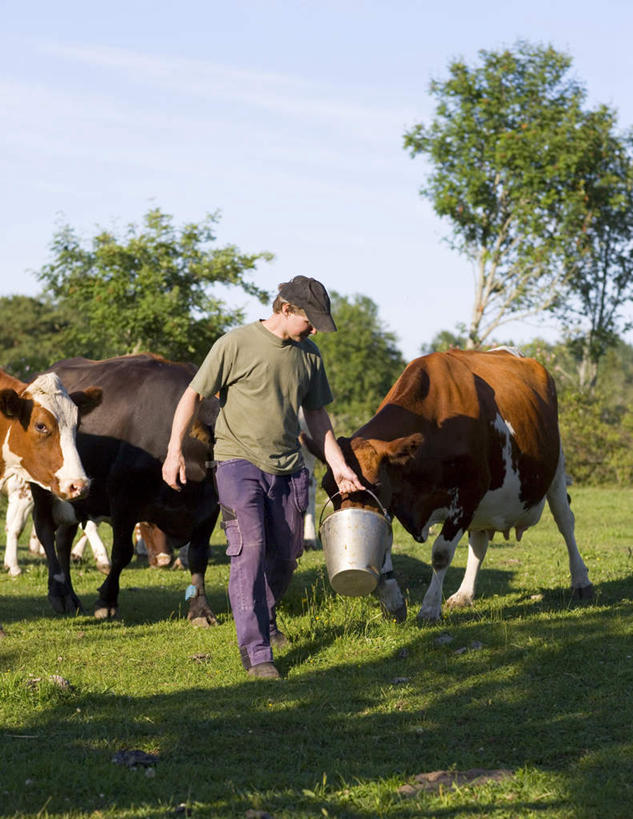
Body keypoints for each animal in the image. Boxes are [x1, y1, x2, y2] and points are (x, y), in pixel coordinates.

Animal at [30, 354, 221, 620]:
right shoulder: (123, 500)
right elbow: (122, 552)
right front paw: (106, 601)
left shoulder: (209, 509)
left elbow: (198, 556)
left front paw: (201, 610)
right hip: (43, 490)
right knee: (45, 530)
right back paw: (59, 595)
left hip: (73, 495)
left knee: (63, 541)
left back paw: (72, 597)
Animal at [308, 346, 592, 620]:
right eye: (328, 488)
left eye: (375, 485)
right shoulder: (391, 502)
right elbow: (383, 546)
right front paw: (393, 602)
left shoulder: (468, 493)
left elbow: (441, 554)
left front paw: (429, 608)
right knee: (479, 542)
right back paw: (464, 594)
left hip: (556, 470)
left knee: (565, 522)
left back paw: (581, 581)